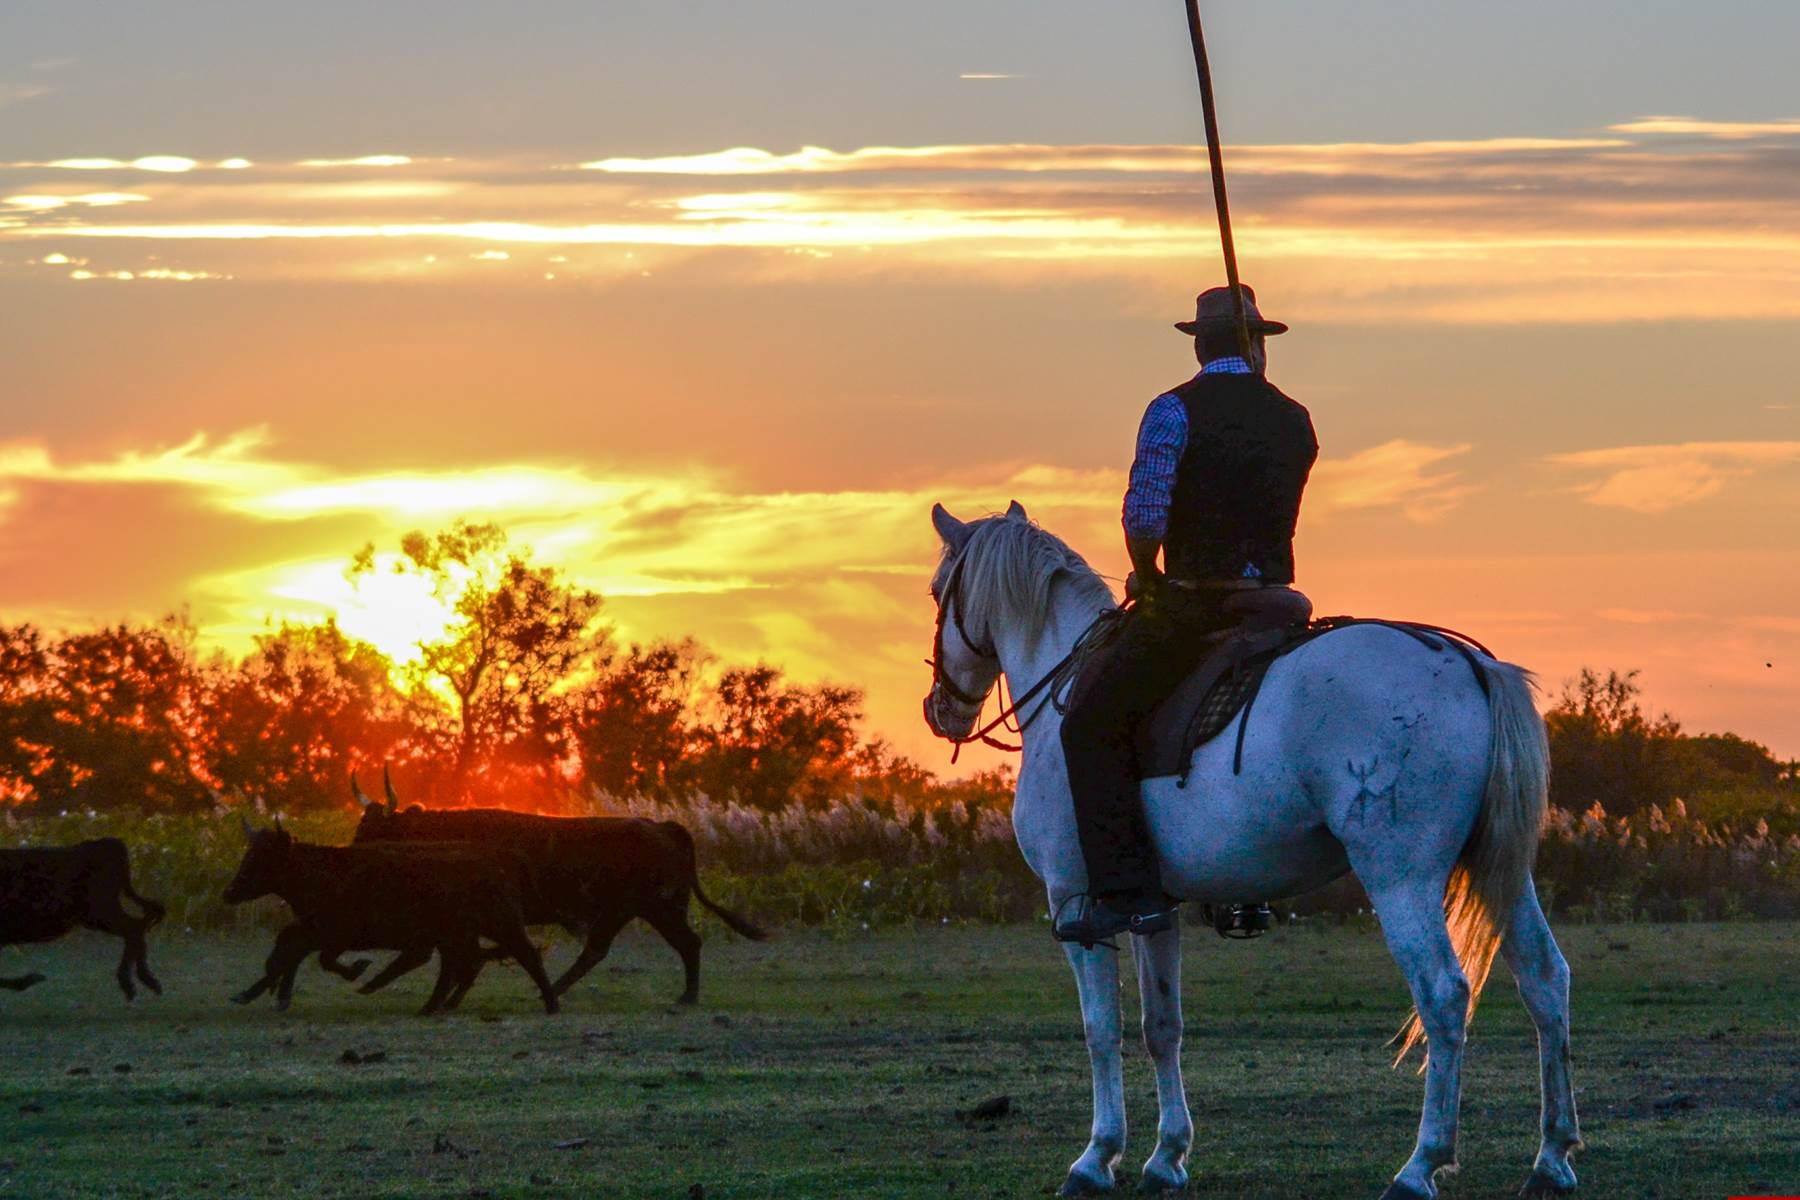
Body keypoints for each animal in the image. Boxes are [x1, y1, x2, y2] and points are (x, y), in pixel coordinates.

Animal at [922, 502, 1580, 1200]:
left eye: (937, 592)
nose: (939, 710)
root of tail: (1471, 667)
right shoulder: (1152, 907)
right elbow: (1162, 1027)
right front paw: (1167, 1156)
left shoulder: (1075, 904)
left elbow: (1101, 1030)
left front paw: (1097, 1158)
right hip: (1502, 877)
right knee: (1545, 981)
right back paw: (1552, 1158)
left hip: (1402, 880)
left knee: (1444, 995)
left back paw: (1421, 1165)